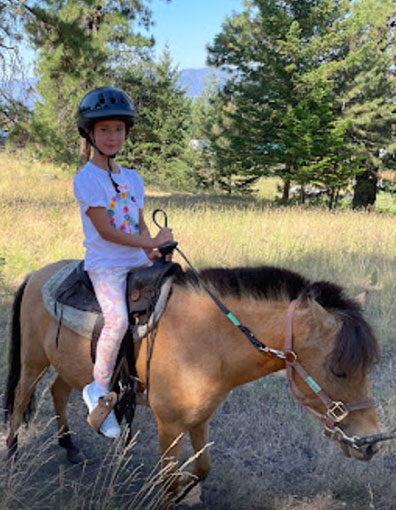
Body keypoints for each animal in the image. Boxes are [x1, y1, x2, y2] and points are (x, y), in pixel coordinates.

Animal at [3, 260, 380, 500]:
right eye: (338, 370)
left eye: (370, 366)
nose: (371, 443)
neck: (206, 339)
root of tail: (38, 274)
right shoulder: (169, 425)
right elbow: (169, 483)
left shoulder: (200, 418)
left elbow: (202, 469)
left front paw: (189, 487)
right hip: (33, 360)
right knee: (21, 397)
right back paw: (13, 453)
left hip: (67, 364)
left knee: (58, 392)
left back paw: (69, 446)